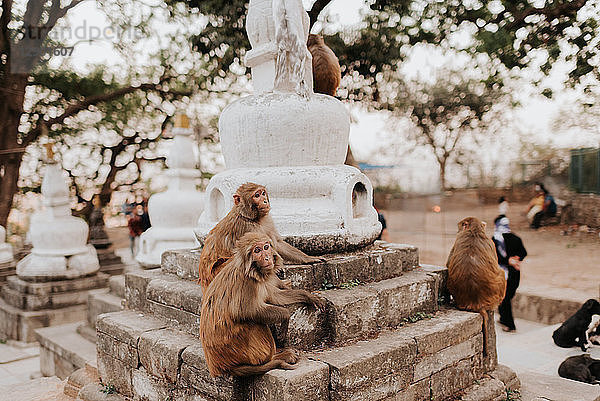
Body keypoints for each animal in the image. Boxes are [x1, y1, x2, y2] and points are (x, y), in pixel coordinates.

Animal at [199, 230, 324, 376]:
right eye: (257, 250)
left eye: (266, 247)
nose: (267, 258)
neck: (253, 270)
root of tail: (219, 366)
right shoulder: (248, 283)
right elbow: (246, 311)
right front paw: (285, 317)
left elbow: (275, 297)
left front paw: (308, 296)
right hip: (237, 350)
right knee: (253, 321)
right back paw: (276, 357)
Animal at [446, 217, 506, 354]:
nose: (458, 229)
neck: (474, 230)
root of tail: (477, 303)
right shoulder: (491, 243)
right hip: (496, 295)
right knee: (502, 272)